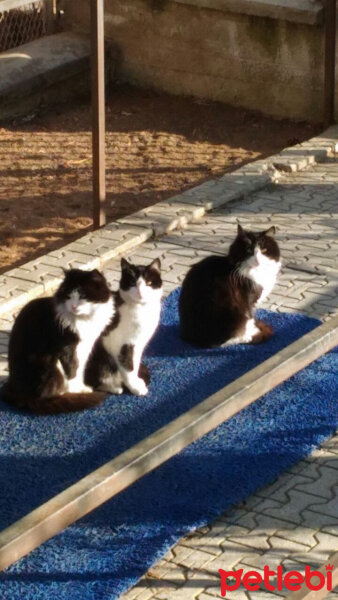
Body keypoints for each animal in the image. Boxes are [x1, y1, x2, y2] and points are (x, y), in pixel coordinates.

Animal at [1, 268, 114, 412]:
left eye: (83, 296)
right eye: (68, 296)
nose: (73, 307)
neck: (84, 319)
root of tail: (14, 391)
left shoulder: (85, 347)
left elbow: (80, 370)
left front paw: (81, 387)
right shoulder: (67, 348)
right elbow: (73, 371)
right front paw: (78, 390)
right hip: (48, 363)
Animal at [86, 256, 162, 394]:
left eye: (149, 283)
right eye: (132, 283)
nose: (140, 293)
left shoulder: (137, 344)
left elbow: (134, 364)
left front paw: (136, 381)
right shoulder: (117, 343)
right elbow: (128, 367)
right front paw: (135, 388)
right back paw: (112, 386)